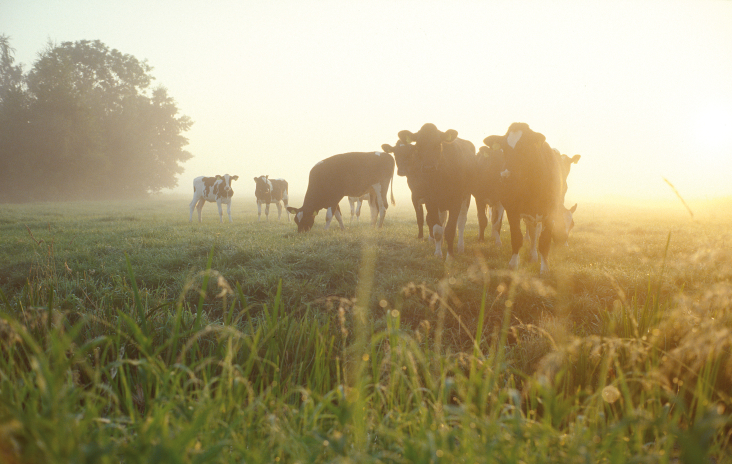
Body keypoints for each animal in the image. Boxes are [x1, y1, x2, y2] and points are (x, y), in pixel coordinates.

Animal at [394, 123, 474, 260]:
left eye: (438, 145)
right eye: (418, 146)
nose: (428, 168)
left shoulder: (456, 200)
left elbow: (451, 229)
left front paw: (450, 256)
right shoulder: (430, 200)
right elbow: (436, 228)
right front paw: (438, 252)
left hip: (466, 196)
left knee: (461, 222)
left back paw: (460, 247)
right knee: (442, 220)